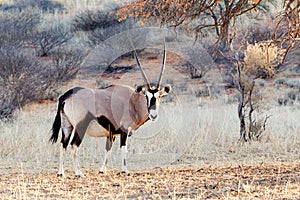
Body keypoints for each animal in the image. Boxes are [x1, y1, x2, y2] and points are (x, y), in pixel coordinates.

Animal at [49, 46, 171, 177]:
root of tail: (66, 96)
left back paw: (61, 173)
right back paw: (79, 173)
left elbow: (108, 149)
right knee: (73, 145)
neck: (133, 102)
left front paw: (102, 170)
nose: (153, 115)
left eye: (159, 96)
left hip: (67, 126)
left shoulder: (111, 134)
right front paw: (125, 170)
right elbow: (123, 149)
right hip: (80, 127)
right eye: (146, 96)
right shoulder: (124, 130)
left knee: (63, 145)